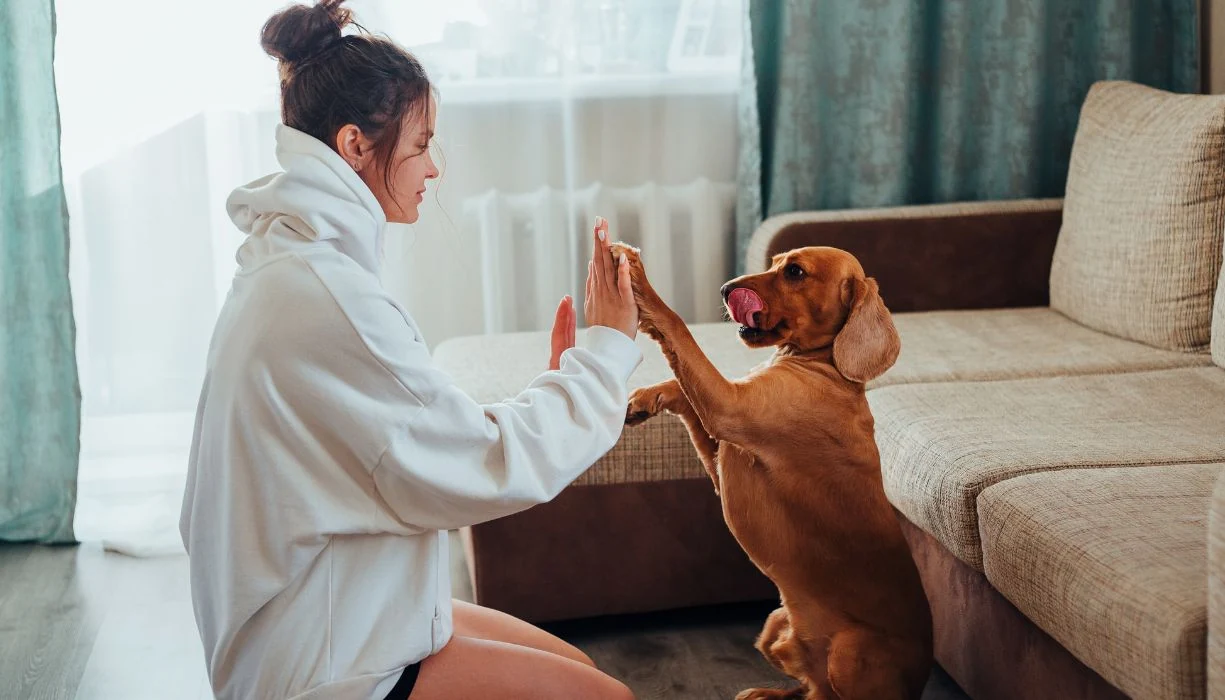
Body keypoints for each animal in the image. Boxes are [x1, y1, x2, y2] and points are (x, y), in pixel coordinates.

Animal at [617, 242, 931, 700]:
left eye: (795, 272)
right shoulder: (722, 451)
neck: (826, 368)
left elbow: (677, 328)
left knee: (825, 694)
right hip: (774, 625)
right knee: (808, 688)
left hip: (848, 654)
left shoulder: (727, 407)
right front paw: (643, 399)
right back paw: (765, 693)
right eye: (774, 262)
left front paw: (639, 280)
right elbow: (681, 389)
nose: (726, 288)